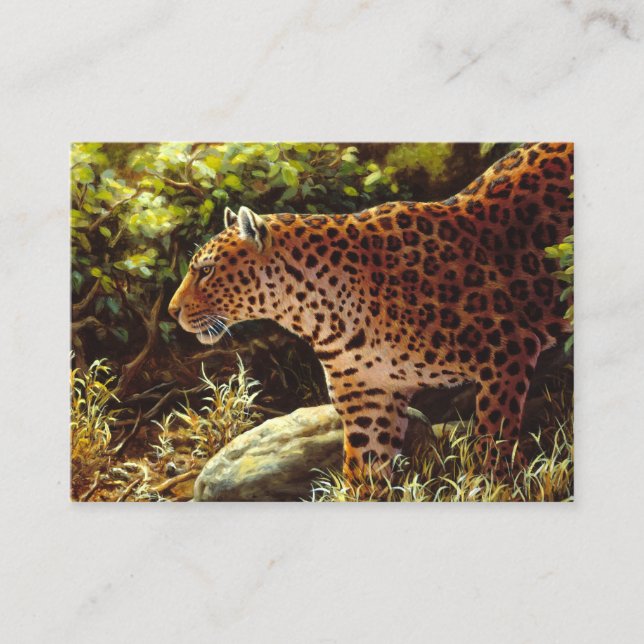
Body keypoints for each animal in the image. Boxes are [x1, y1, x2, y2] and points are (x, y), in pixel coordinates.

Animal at [169, 142, 574, 487]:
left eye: (206, 270)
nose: (172, 311)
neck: (317, 316)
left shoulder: (506, 353)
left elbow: (494, 437)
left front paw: (496, 483)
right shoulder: (369, 399)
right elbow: (363, 473)